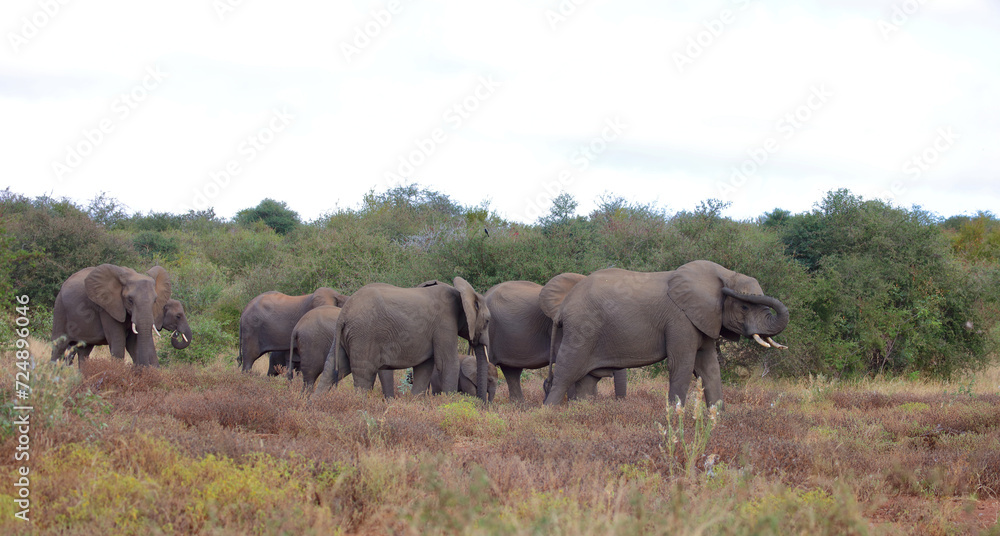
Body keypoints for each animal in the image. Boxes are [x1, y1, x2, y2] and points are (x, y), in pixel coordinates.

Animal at [316, 278, 492, 400]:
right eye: (488, 321)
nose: (481, 405)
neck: (461, 293)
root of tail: (344, 313)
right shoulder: (445, 323)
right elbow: (447, 363)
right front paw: (449, 404)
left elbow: (424, 367)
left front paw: (415, 403)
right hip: (363, 335)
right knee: (364, 375)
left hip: (345, 337)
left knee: (333, 369)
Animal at [540, 260, 788, 406]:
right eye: (744, 307)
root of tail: (564, 305)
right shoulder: (680, 319)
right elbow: (682, 365)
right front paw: (676, 416)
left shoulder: (703, 319)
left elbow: (709, 367)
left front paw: (717, 419)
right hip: (582, 329)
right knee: (566, 372)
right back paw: (548, 412)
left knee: (585, 379)